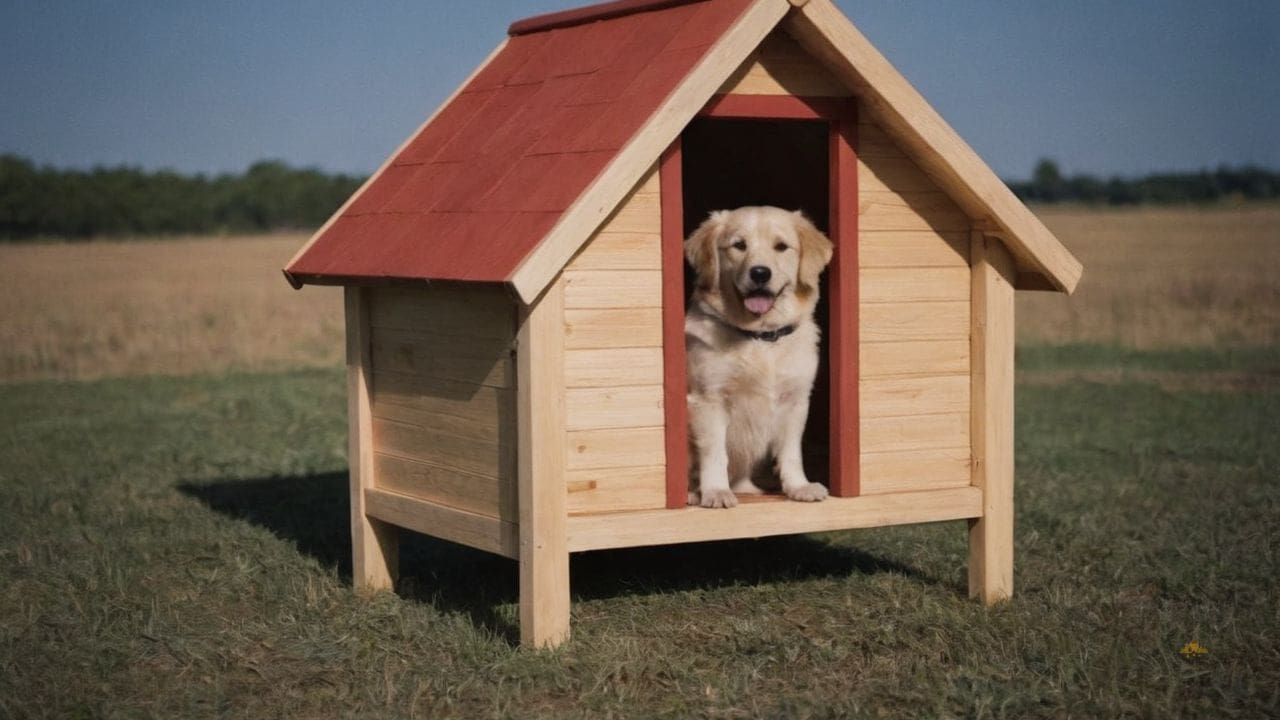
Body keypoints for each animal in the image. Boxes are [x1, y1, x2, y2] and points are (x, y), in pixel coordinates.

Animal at [686, 203, 834, 504]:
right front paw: (715, 491)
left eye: (781, 246)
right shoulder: (708, 399)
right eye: (739, 245)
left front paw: (798, 486)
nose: (760, 273)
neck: (761, 338)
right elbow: (715, 453)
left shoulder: (795, 401)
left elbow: (791, 453)